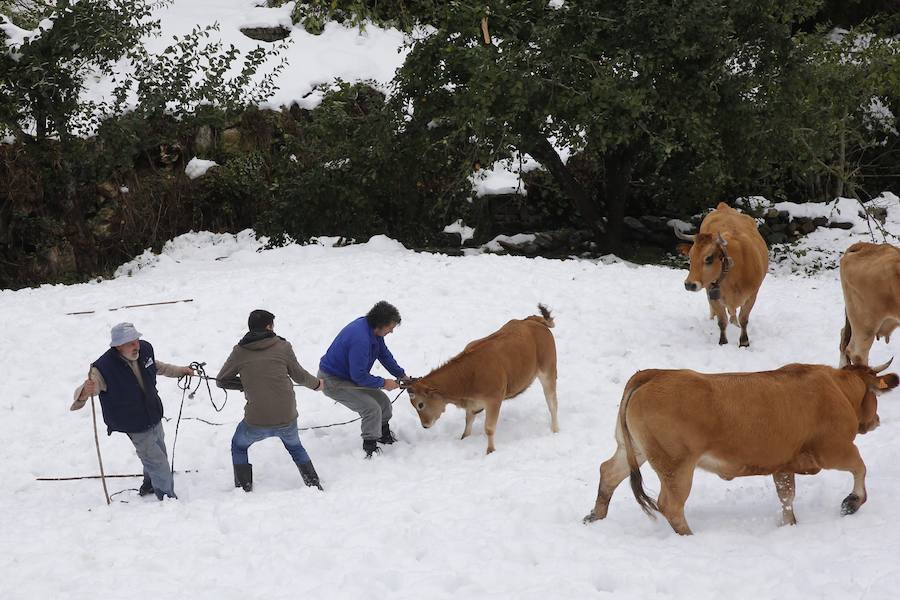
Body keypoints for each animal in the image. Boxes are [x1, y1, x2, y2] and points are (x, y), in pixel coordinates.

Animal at [406, 304, 556, 454]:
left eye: (420, 404)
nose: (425, 425)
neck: (469, 373)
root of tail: (531, 321)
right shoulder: (473, 404)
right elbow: (467, 424)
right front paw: (464, 439)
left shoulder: (494, 400)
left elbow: (489, 428)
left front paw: (490, 450)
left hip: (549, 372)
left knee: (552, 403)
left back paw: (555, 430)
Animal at [580, 360, 896, 536]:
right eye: (874, 396)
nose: (877, 420)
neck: (836, 388)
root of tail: (653, 374)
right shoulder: (834, 449)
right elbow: (860, 467)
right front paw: (852, 502)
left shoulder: (783, 464)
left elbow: (786, 498)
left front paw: (789, 525)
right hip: (676, 465)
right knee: (670, 505)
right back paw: (689, 537)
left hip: (633, 449)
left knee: (609, 472)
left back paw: (594, 517)